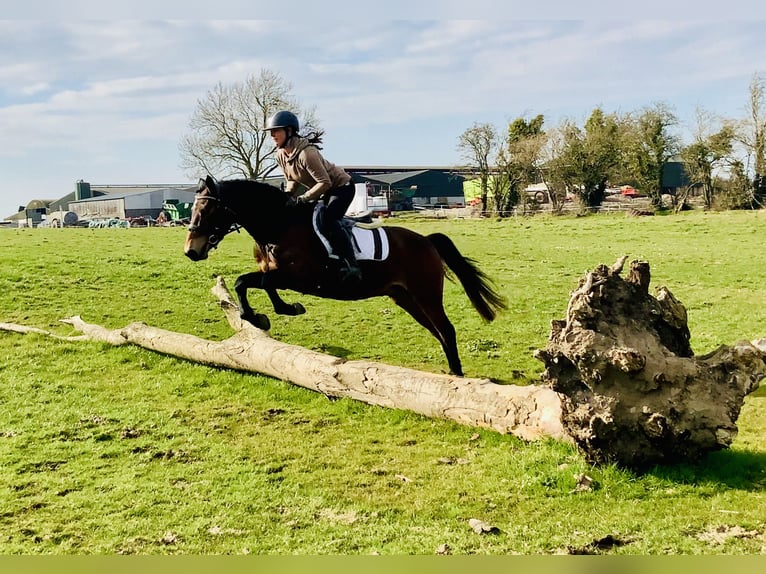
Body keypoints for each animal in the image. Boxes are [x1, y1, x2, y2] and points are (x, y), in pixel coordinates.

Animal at [184, 176, 510, 378]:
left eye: (208, 208)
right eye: (194, 208)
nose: (191, 250)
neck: (278, 225)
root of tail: (427, 241)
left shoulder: (301, 278)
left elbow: (249, 282)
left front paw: (267, 314)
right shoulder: (275, 273)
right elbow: (256, 283)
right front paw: (270, 314)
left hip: (425, 293)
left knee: (446, 329)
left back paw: (457, 375)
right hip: (405, 298)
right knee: (437, 331)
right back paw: (452, 373)